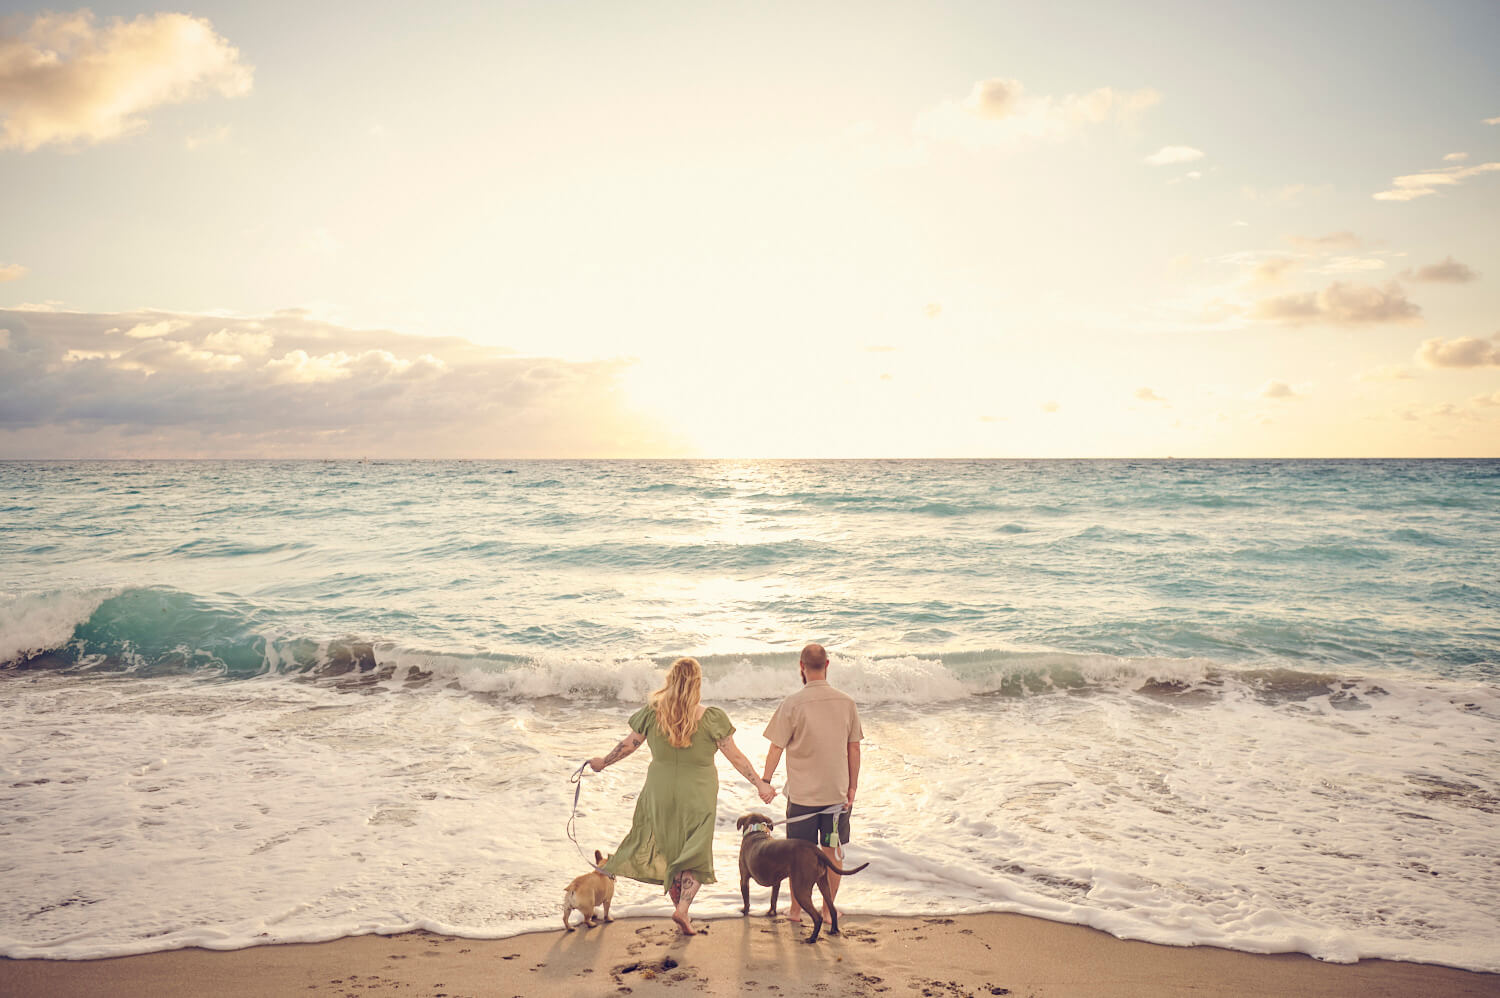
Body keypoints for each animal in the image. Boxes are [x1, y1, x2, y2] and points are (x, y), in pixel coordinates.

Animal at [735, 810, 870, 942]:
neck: (756, 831)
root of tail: (815, 849)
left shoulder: (744, 879)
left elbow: (746, 900)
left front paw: (744, 911)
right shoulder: (776, 882)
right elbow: (773, 899)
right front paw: (771, 913)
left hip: (800, 890)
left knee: (818, 917)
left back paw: (812, 938)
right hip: (823, 883)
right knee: (832, 909)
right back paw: (833, 930)